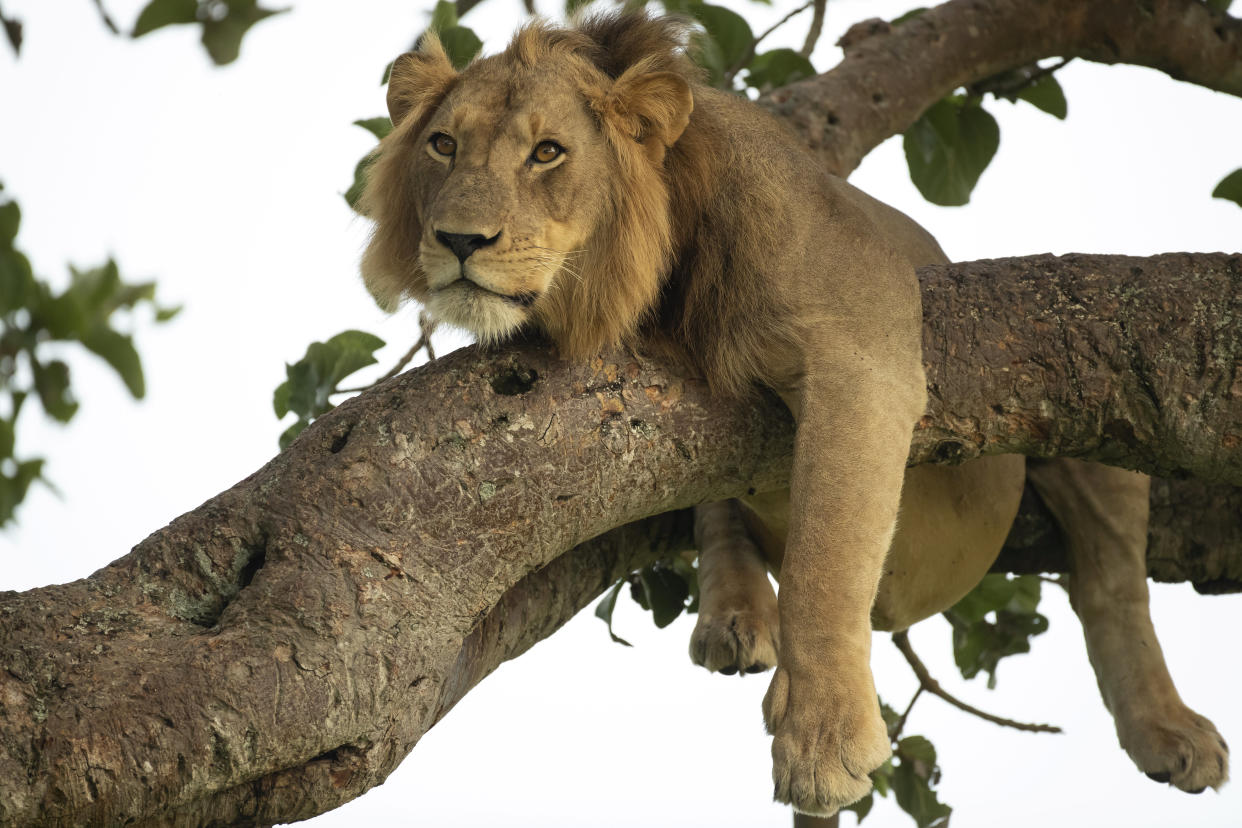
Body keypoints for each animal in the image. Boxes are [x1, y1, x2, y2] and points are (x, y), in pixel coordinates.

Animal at [362, 11, 1232, 814]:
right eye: (442, 144)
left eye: (547, 152)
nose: (458, 240)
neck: (646, 287)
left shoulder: (864, 352)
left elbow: (827, 551)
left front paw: (822, 737)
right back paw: (734, 612)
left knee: (1113, 584)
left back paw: (1169, 728)